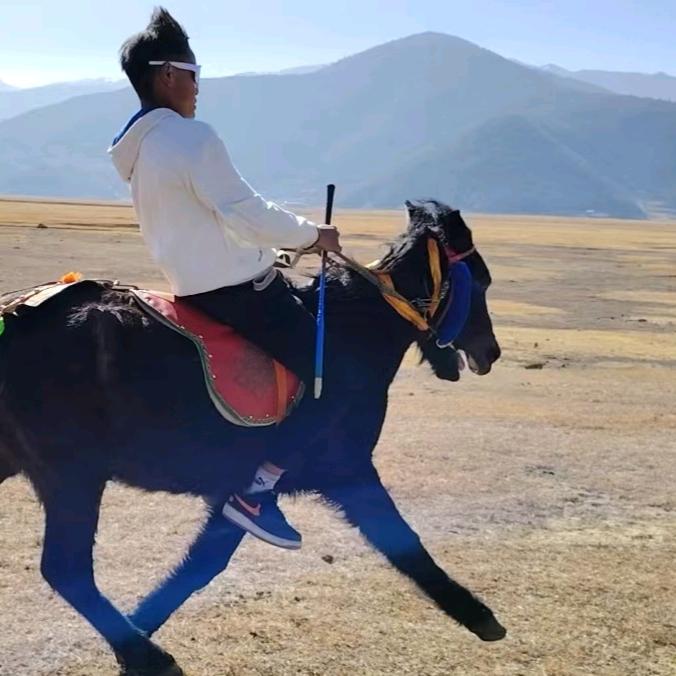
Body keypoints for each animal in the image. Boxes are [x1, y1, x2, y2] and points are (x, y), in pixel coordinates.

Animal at [0, 200, 503, 676]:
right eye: (480, 282)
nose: (491, 352)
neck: (354, 334)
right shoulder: (348, 473)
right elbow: (405, 544)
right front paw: (482, 617)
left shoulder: (248, 491)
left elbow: (202, 564)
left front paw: (137, 630)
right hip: (73, 476)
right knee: (66, 570)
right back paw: (151, 657)